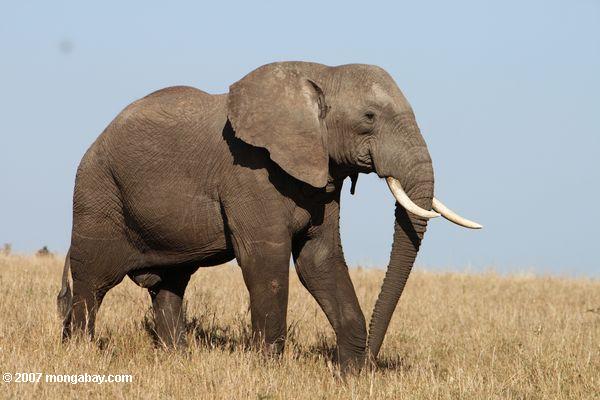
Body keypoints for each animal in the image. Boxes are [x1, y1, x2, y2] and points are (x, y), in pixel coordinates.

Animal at [58, 61, 480, 370]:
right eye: (369, 116)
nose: (372, 360)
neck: (321, 73)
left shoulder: (321, 176)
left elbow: (319, 260)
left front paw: (350, 375)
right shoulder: (249, 173)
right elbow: (266, 260)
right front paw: (269, 370)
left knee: (170, 287)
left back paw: (178, 358)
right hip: (97, 193)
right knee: (92, 283)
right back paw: (79, 353)